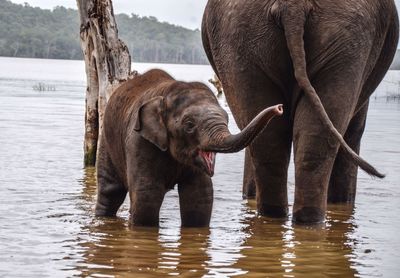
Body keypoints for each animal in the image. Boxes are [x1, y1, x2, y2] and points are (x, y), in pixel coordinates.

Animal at [96, 69, 284, 226]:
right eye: (189, 125)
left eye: (226, 117)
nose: (279, 107)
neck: (167, 92)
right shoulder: (139, 141)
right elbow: (147, 194)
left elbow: (199, 195)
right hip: (107, 139)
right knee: (111, 191)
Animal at [202, 0, 398, 223]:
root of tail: (292, 6)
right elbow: (355, 131)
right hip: (350, 39)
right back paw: (307, 220)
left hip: (239, 35)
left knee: (272, 143)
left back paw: (280, 216)